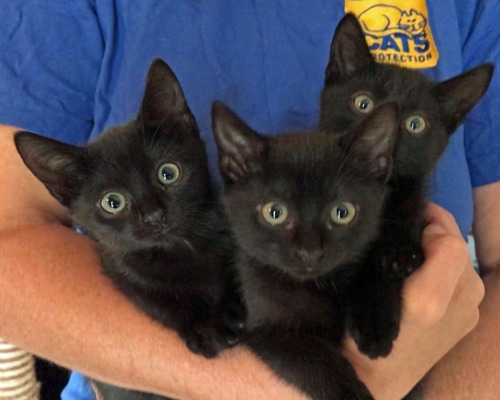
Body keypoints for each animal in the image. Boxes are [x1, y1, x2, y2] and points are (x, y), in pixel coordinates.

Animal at [14, 59, 244, 400]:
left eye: (168, 173)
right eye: (113, 202)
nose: (154, 216)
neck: (181, 248)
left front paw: (234, 305)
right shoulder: (119, 269)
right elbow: (156, 299)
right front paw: (203, 327)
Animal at [213, 101, 400, 400]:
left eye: (342, 212)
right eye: (274, 212)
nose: (310, 251)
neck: (320, 284)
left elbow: (375, 265)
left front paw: (375, 321)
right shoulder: (268, 328)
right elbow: (314, 361)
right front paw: (351, 393)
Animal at [318, 14, 490, 360]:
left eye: (415, 124)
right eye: (363, 103)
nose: (382, 139)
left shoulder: (413, 217)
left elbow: (386, 264)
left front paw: (375, 324)